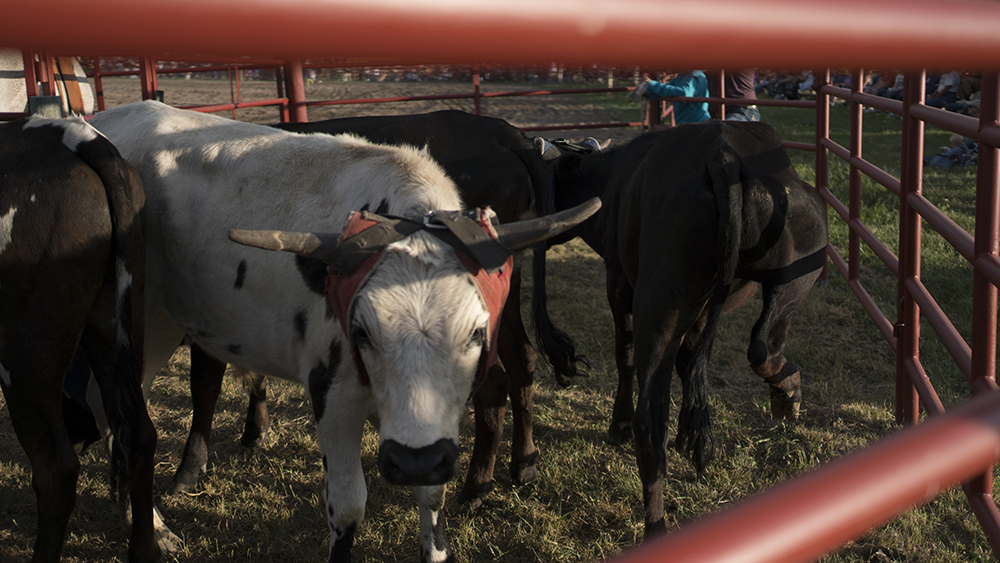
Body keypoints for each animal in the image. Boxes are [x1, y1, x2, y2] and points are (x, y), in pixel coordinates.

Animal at [90, 102, 596, 563]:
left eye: (474, 332)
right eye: (362, 331)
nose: (412, 461)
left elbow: (431, 495)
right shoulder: (330, 391)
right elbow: (349, 506)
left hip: (159, 325)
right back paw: (152, 528)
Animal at [548, 122, 828, 536]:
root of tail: (722, 155)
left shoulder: (619, 285)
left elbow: (626, 356)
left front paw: (618, 423)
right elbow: (683, 362)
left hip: (663, 305)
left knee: (654, 415)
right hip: (790, 272)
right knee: (762, 347)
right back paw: (787, 391)